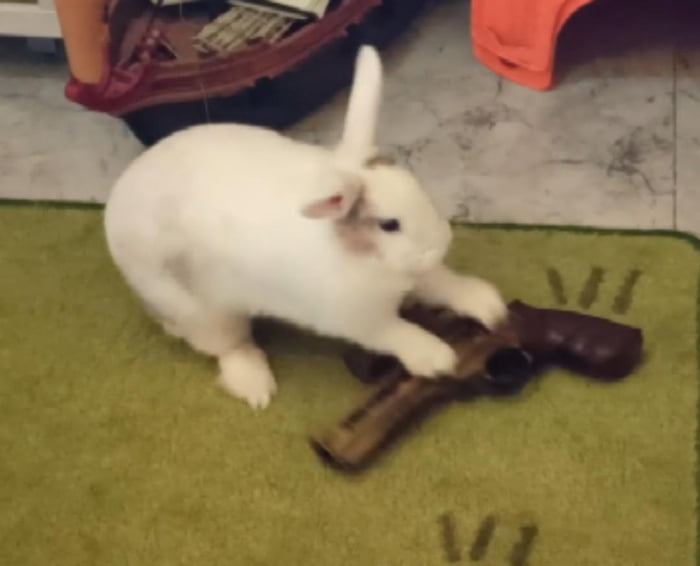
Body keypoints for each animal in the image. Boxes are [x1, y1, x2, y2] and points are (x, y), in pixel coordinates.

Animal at [104, 45, 507, 410]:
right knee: (228, 347)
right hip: (206, 312)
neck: (366, 258)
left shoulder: (418, 275)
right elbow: (397, 333)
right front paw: (438, 359)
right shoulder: (360, 319)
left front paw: (489, 305)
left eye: (418, 186)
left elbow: (444, 284)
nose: (441, 244)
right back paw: (256, 388)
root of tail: (116, 201)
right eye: (389, 224)